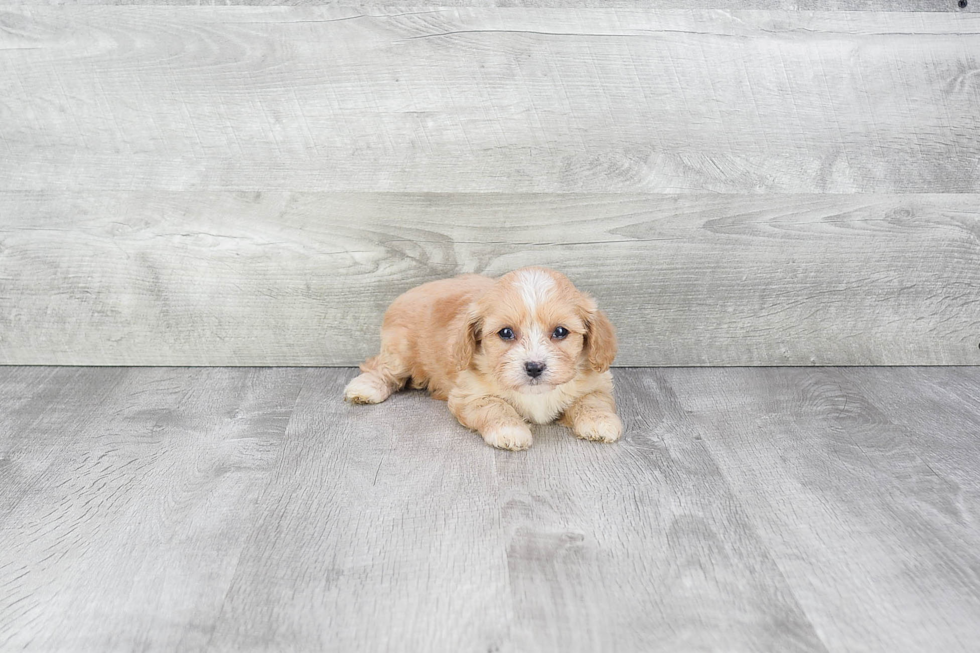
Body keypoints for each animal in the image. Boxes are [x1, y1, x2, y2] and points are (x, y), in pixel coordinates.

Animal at [342, 264, 620, 448]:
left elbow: (592, 401)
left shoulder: (597, 384)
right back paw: (366, 388)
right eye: (506, 332)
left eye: (560, 332)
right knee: (380, 367)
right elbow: (495, 406)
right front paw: (510, 430)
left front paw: (600, 422)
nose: (534, 367)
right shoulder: (470, 395)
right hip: (401, 350)